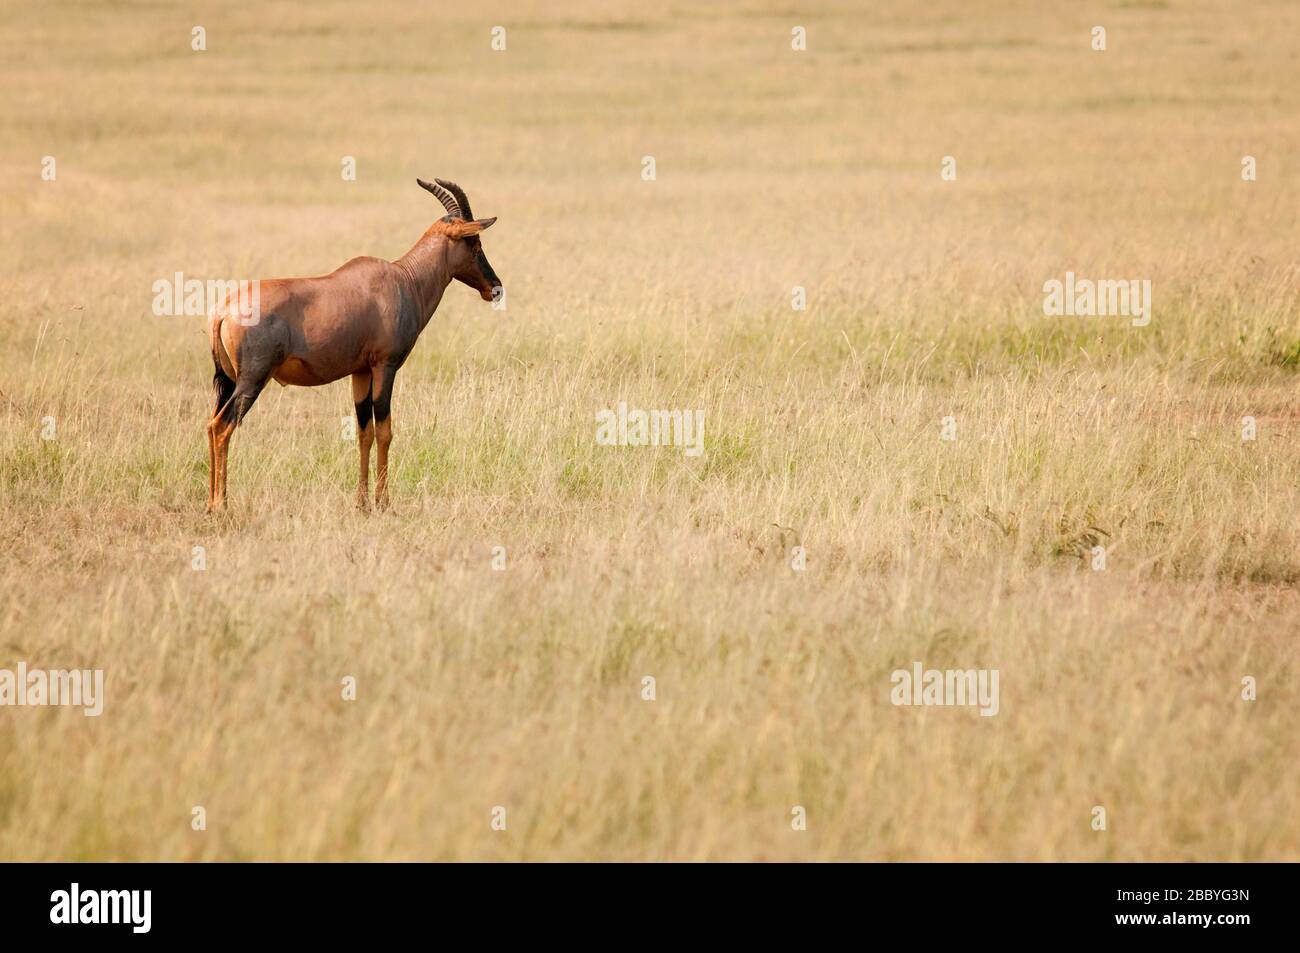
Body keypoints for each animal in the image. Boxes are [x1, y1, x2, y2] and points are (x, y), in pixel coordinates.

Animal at [205, 174, 499, 509]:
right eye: (474, 243)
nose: (495, 288)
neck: (403, 278)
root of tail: (222, 310)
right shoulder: (385, 366)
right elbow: (385, 430)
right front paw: (383, 502)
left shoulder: (360, 372)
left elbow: (364, 432)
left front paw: (362, 503)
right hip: (252, 379)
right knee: (223, 426)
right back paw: (221, 505)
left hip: (230, 380)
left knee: (211, 424)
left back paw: (210, 504)